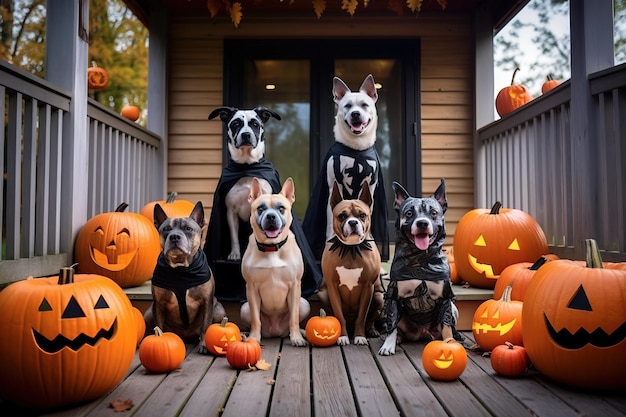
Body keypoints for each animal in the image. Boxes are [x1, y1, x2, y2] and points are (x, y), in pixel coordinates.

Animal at [144, 202, 224, 352]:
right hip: (148, 313)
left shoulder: (207, 302)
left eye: (188, 229)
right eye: (166, 229)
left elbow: (206, 326)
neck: (181, 269)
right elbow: (159, 326)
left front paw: (203, 344)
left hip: (219, 310)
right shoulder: (158, 304)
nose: (174, 236)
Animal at [238, 177, 308, 346]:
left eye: (281, 208)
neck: (271, 248)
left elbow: (294, 318)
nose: (270, 216)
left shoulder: (295, 286)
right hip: (244, 308)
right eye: (260, 209)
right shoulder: (251, 288)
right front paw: (253, 338)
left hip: (304, 304)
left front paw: (297, 338)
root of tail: (275, 332)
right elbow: (256, 319)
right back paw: (246, 335)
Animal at [322, 181, 380, 344]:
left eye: (362, 215)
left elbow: (362, 316)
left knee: (371, 318)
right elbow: (338, 315)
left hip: (379, 296)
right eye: (342, 216)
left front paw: (360, 336)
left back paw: (371, 330)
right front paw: (342, 336)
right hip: (323, 294)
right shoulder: (332, 287)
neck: (351, 249)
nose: (353, 222)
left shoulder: (368, 287)